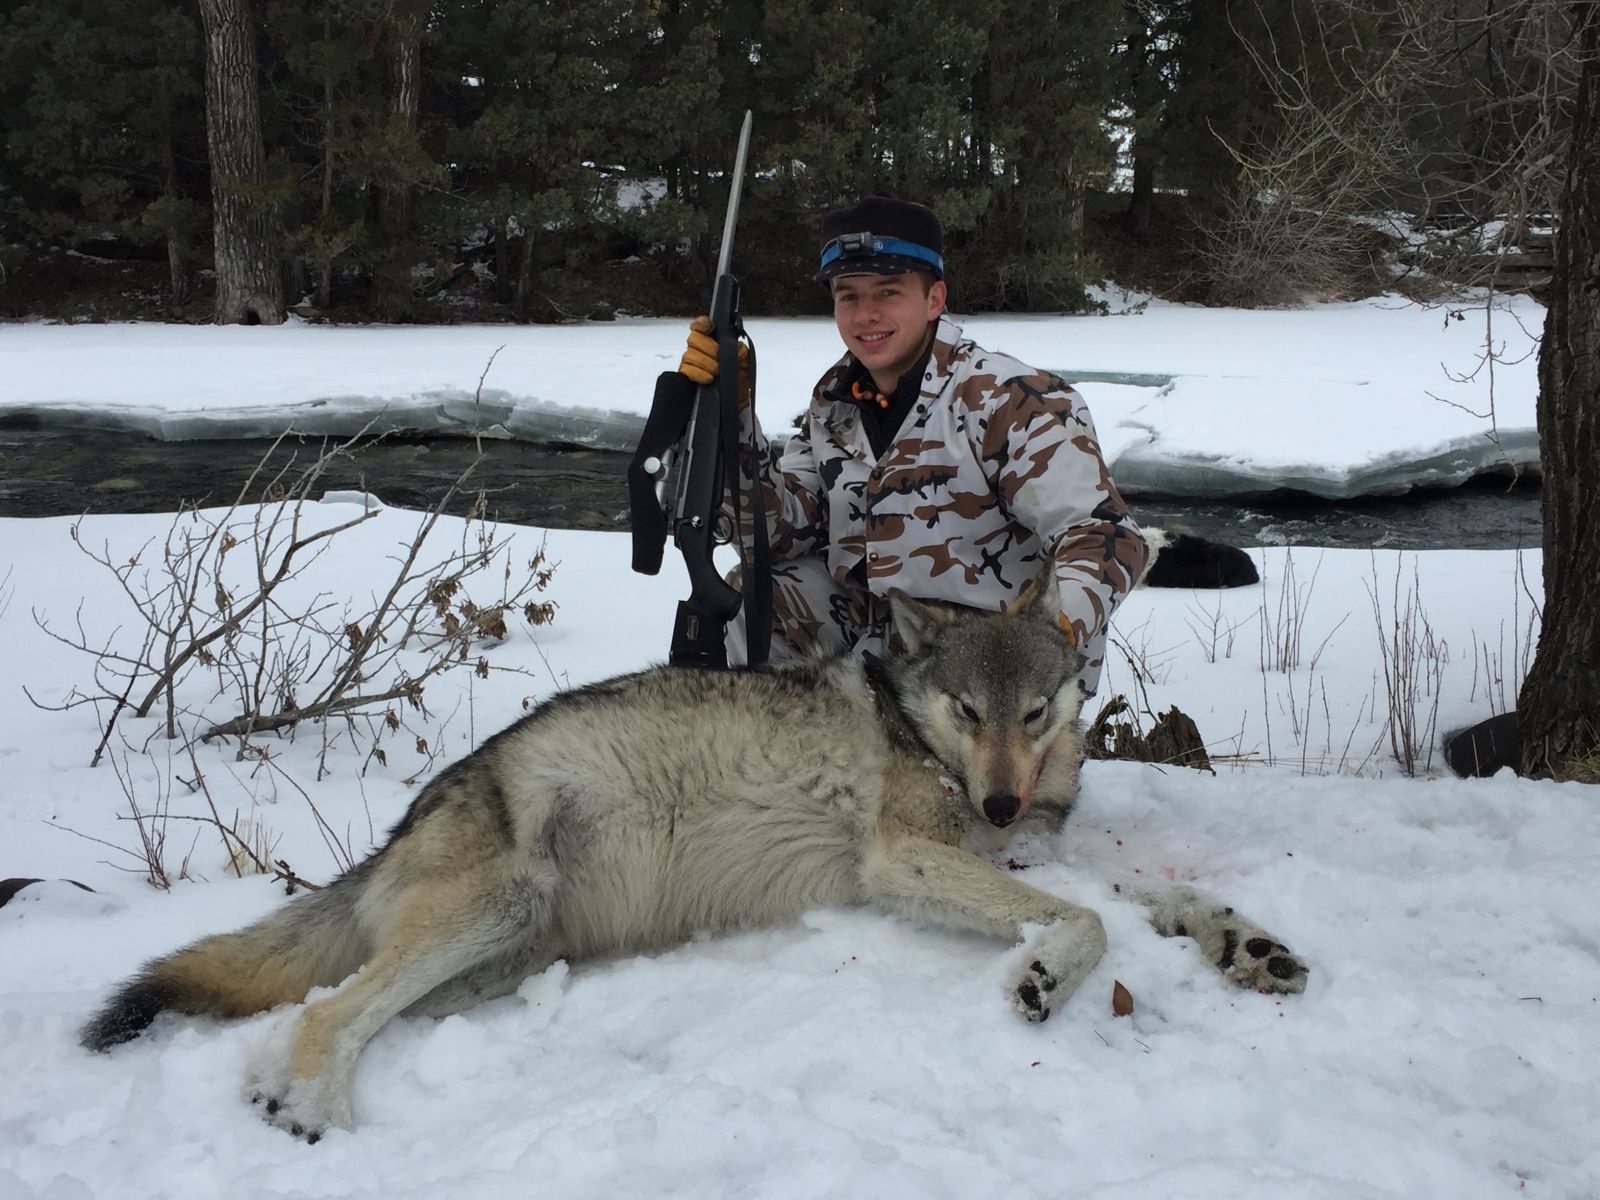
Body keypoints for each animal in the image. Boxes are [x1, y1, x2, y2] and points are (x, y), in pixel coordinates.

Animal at [80, 569, 1307, 1139]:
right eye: (970, 712)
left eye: (1037, 713)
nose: (1003, 805)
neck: (927, 740)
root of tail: (402, 829)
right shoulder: (901, 862)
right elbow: (1091, 921)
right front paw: (1042, 976)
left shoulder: (1000, 856)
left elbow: (1150, 895)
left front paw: (1244, 942)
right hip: (491, 919)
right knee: (328, 1011)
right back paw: (311, 1115)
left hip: (502, 954)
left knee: (334, 1003)